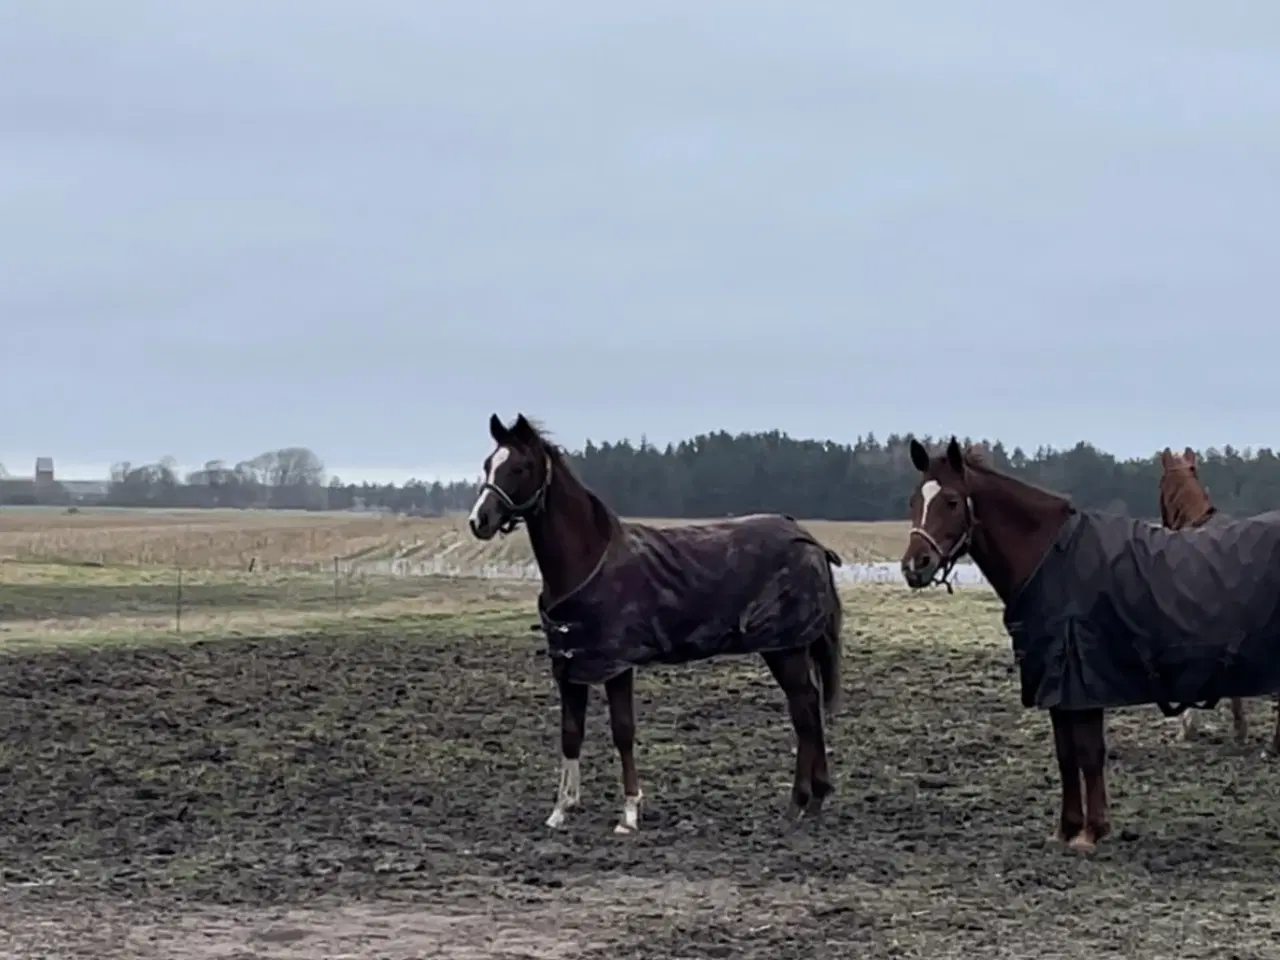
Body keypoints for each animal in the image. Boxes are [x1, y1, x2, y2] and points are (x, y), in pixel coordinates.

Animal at [465, 414, 844, 834]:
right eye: (488, 464)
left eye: (520, 467)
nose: (479, 521)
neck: (588, 559)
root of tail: (810, 542)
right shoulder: (570, 664)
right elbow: (570, 734)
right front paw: (561, 810)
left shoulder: (617, 664)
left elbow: (623, 732)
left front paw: (629, 814)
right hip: (788, 648)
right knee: (808, 708)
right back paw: (814, 801)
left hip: (785, 649)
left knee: (804, 712)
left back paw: (798, 804)